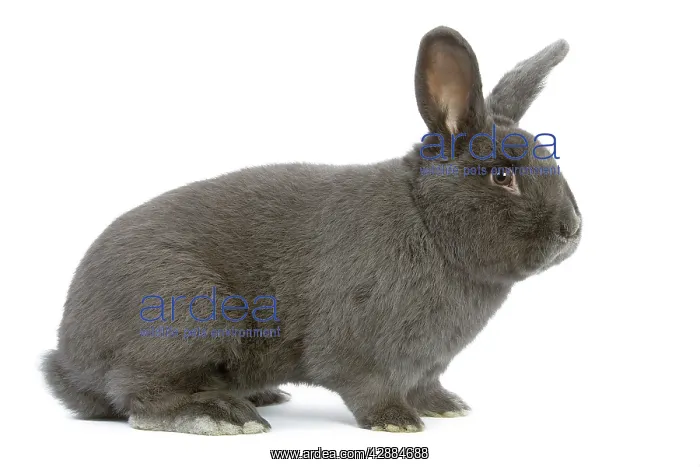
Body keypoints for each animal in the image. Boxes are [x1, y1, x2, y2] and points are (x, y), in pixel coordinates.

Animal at [41, 25, 580, 435]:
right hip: (189, 312)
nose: (572, 230)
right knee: (138, 394)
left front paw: (446, 406)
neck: (426, 220)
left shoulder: (428, 364)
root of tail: (68, 357)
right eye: (502, 176)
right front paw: (398, 422)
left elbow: (426, 384)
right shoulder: (360, 351)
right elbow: (370, 387)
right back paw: (225, 415)